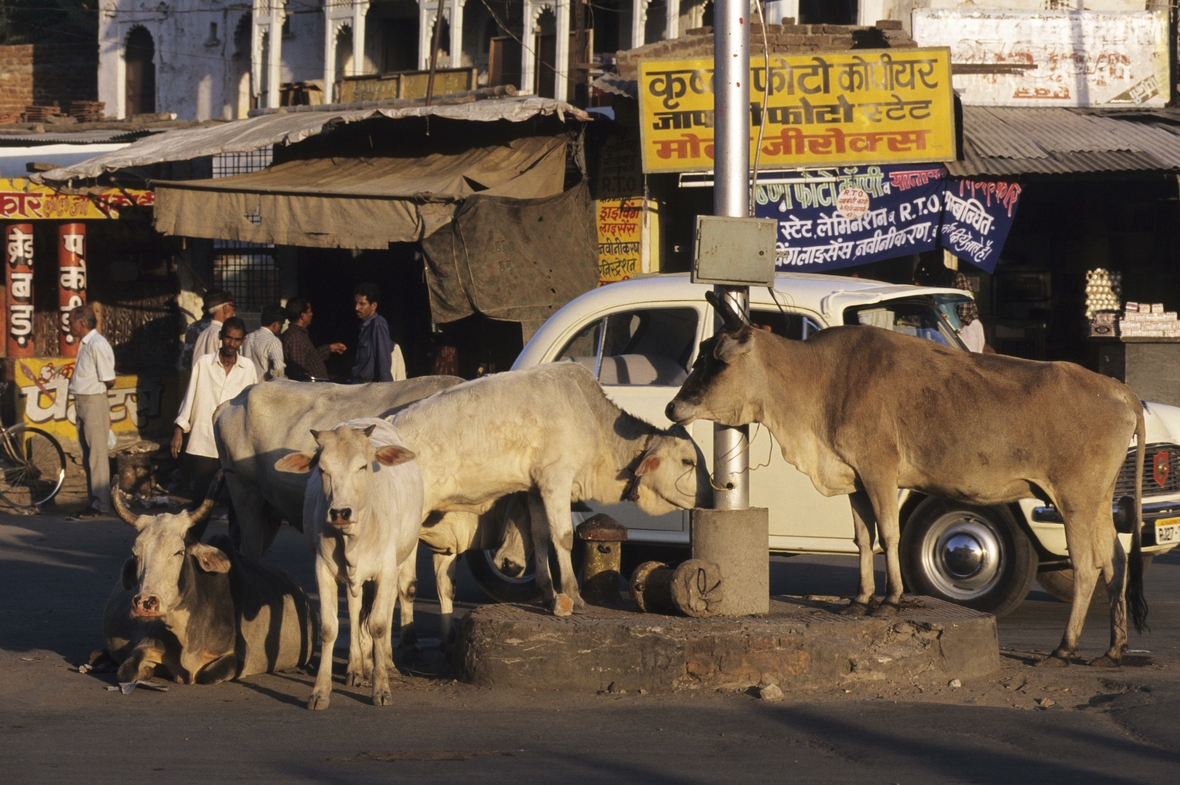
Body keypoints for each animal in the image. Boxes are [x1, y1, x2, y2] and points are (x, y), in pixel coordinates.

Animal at [104, 474, 313, 684]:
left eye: (178, 552)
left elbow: (207, 675)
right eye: (136, 554)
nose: (145, 603)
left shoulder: (237, 654)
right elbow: (125, 671)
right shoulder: (145, 645)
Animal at [670, 290, 1146, 665]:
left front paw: (891, 599)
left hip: (1074, 500)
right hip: (1098, 502)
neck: (819, 379)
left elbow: (890, 534)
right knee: (1116, 563)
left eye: (716, 361)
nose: (673, 407)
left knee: (1087, 566)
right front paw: (860, 599)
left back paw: (1065, 648)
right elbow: (864, 539)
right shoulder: (856, 481)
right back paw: (1114, 648)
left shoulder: (880, 473)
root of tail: (1121, 389)